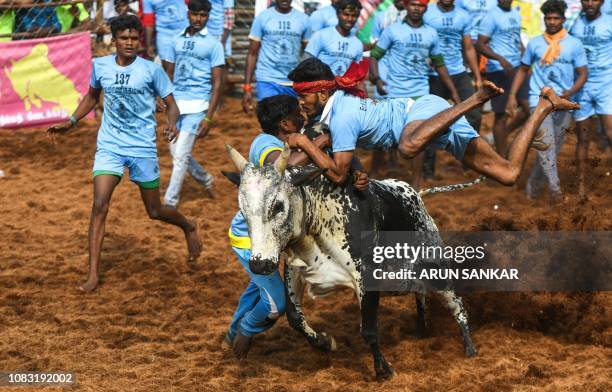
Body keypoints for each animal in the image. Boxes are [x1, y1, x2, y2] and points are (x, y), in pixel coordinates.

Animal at [225, 144, 478, 380]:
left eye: (278, 206)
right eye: (243, 211)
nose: (259, 265)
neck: (319, 216)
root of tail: (415, 194)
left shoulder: (366, 277)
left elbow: (369, 331)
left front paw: (384, 370)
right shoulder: (295, 271)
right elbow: (295, 318)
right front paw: (326, 342)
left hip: (436, 267)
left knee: (457, 304)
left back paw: (469, 348)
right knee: (421, 294)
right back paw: (421, 329)